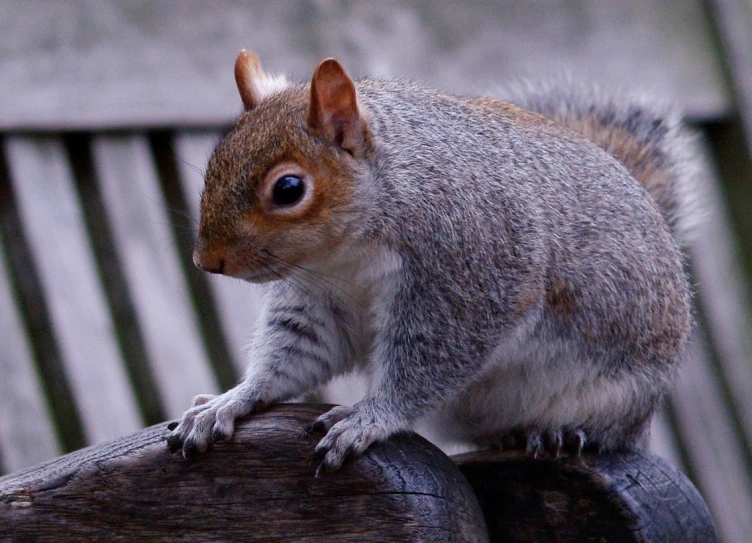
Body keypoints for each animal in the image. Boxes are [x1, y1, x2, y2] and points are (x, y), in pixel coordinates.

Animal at [167, 49, 696, 470]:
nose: (206, 260)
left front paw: (370, 417)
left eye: (289, 189)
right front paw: (230, 401)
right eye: (215, 162)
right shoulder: (318, 297)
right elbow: (294, 351)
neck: (346, 256)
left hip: (622, 394)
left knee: (612, 432)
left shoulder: (467, 275)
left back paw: (559, 431)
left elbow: (428, 362)